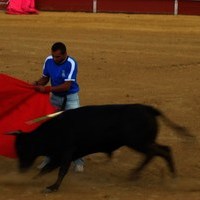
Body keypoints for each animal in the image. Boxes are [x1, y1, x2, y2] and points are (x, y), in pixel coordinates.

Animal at [9, 104, 192, 191]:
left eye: (23, 148)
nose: (21, 169)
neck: (54, 130)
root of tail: (149, 109)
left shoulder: (66, 152)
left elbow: (59, 170)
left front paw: (52, 187)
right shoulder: (60, 155)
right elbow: (47, 169)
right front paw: (31, 180)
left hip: (139, 142)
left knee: (158, 152)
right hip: (144, 142)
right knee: (163, 150)